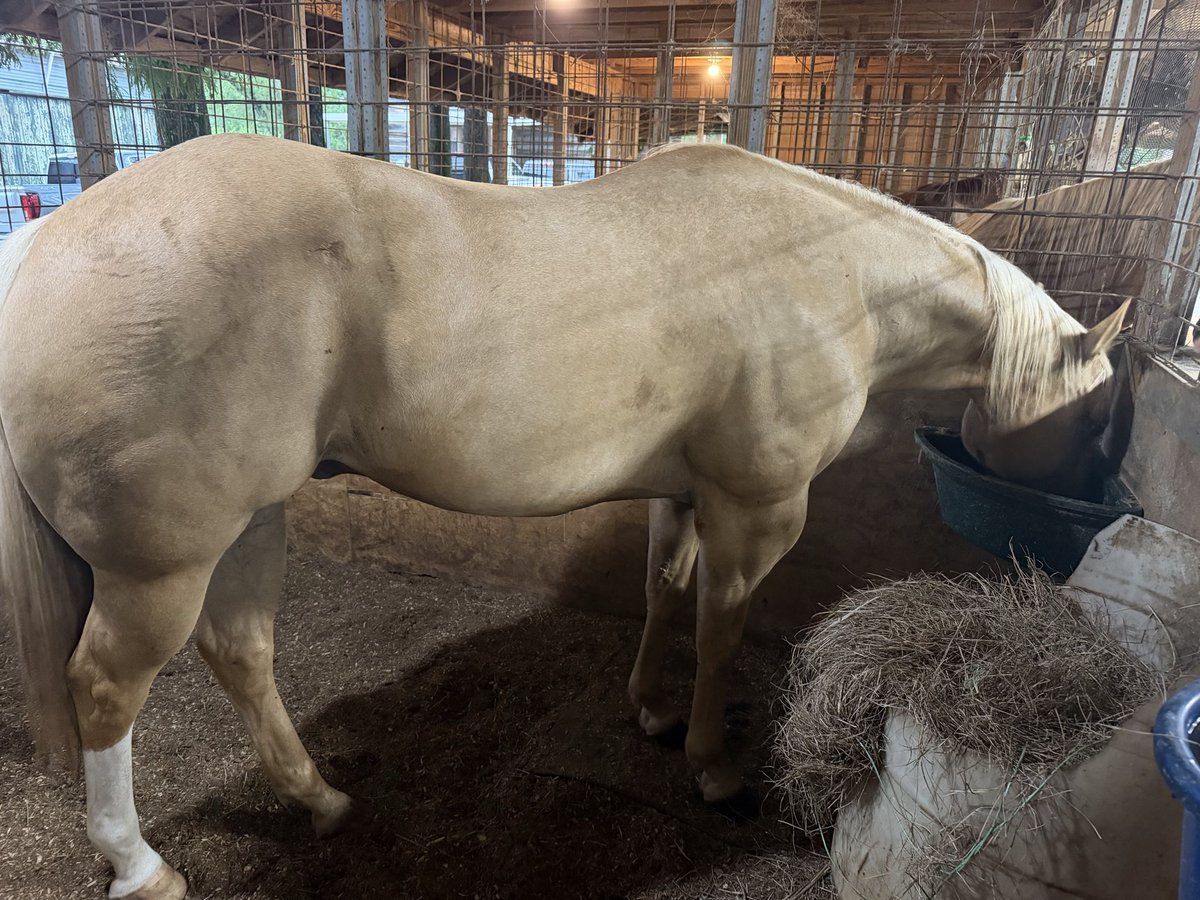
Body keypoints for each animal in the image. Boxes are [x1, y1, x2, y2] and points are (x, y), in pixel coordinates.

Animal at [0, 134, 1128, 899]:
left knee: (241, 652)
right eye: (1097, 417)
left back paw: (319, 800)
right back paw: (141, 865)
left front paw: (653, 712)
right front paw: (714, 764)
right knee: (107, 690)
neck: (832, 273)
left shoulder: (685, 496)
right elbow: (721, 630)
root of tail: (46, 241)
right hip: (162, 565)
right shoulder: (759, 509)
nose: (1078, 532)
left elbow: (663, 596)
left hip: (249, 523)